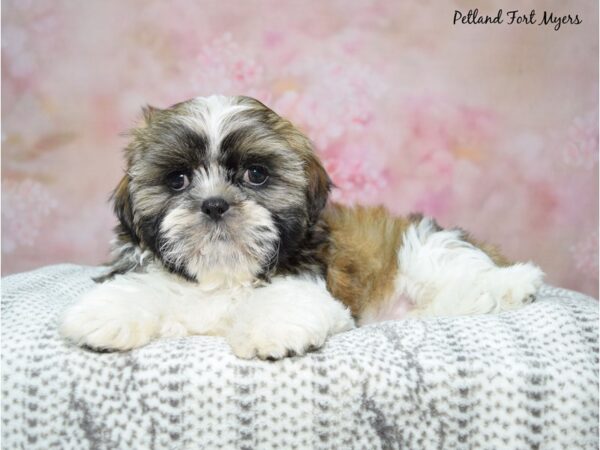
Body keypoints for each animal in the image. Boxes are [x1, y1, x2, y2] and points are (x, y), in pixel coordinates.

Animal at [59, 95, 544, 358]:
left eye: (256, 174)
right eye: (177, 179)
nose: (214, 205)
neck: (223, 274)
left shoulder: (312, 284)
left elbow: (285, 301)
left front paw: (271, 331)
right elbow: (140, 287)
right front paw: (106, 316)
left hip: (426, 252)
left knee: (466, 278)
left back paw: (516, 281)